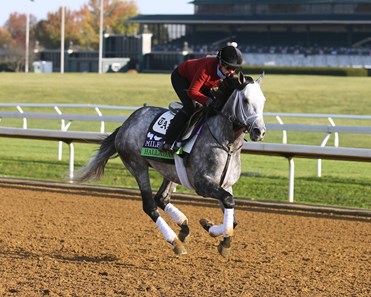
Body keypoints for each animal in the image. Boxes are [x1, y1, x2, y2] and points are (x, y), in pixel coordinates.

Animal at [73, 73, 268, 256]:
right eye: (246, 100)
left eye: (263, 101)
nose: (260, 131)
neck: (228, 145)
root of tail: (125, 124)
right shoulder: (202, 184)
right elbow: (228, 201)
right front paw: (222, 239)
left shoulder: (226, 184)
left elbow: (233, 218)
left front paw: (210, 227)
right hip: (137, 165)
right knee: (150, 206)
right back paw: (175, 241)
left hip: (171, 172)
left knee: (162, 198)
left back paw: (184, 227)